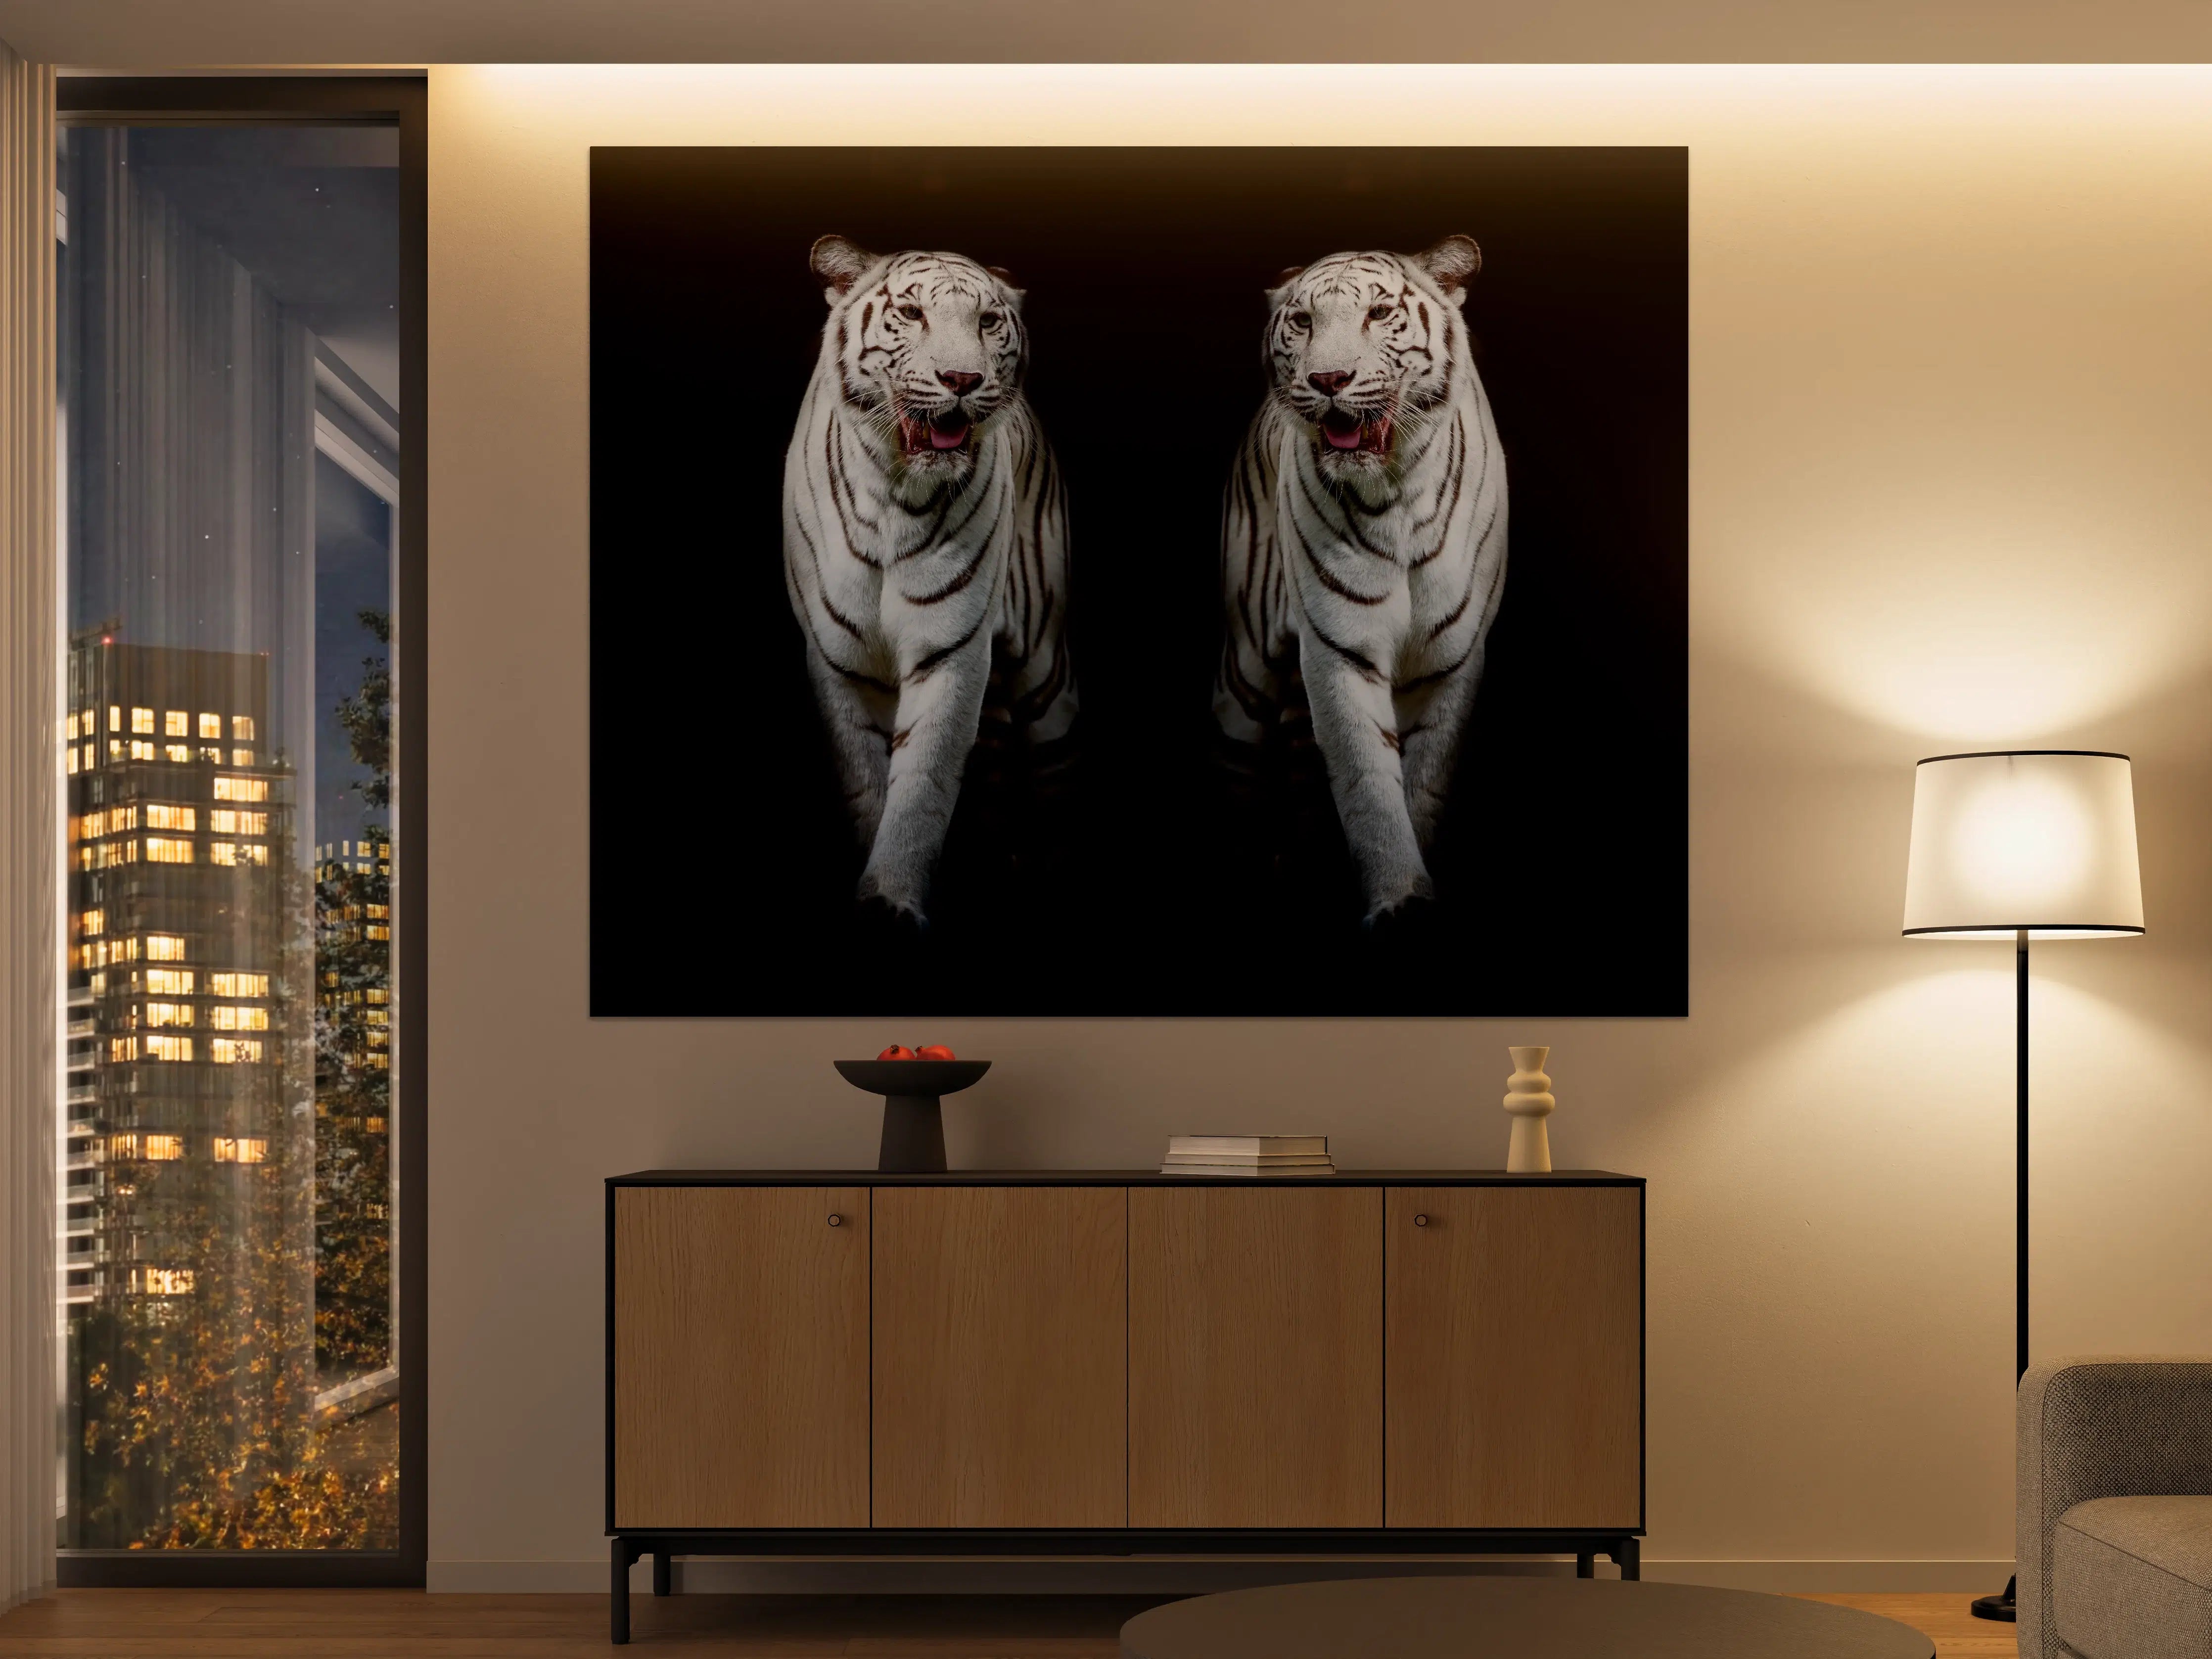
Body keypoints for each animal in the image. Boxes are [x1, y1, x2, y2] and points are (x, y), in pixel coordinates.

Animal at [782, 234, 1075, 927]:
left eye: (987, 322)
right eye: (912, 314)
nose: (962, 380)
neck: (895, 493)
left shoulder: (950, 650)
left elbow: (923, 782)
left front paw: (892, 897)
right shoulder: (839, 660)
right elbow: (867, 780)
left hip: (1044, 671)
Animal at [1213, 235, 1508, 925]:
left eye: (1378, 313)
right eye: (1303, 322)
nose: (1327, 380)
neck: (1395, 492)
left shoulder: (1450, 660)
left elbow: (1422, 780)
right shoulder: (1339, 649)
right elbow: (1366, 780)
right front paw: (1397, 897)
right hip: (1245, 673)